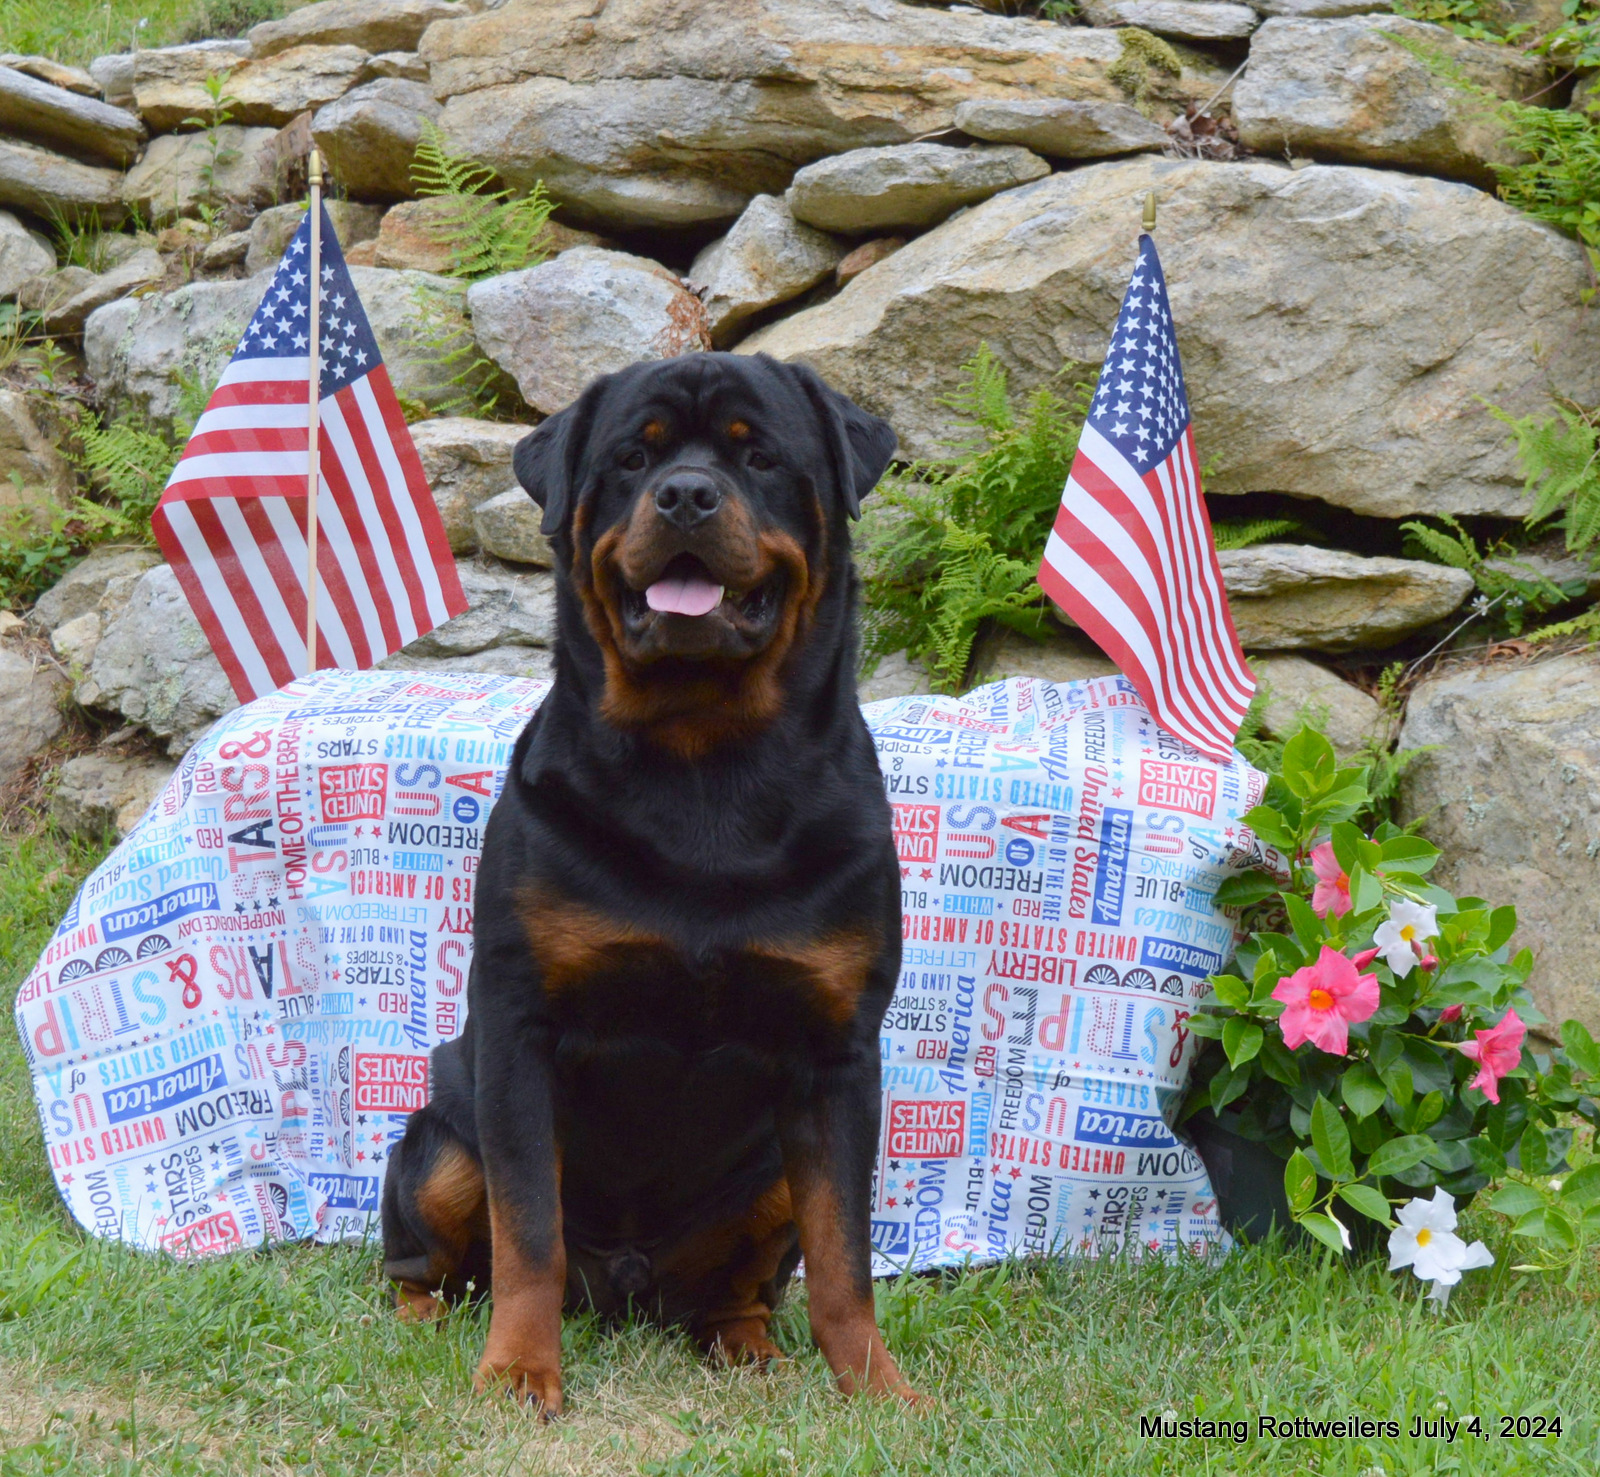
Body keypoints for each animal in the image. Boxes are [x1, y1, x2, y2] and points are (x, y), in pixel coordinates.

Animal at [381, 352, 920, 1415]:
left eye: (761, 457)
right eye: (633, 458)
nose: (686, 494)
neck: (704, 765)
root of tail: (627, 1285)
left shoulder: (838, 1052)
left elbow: (845, 1256)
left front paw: (876, 1385)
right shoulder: (520, 1030)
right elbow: (529, 1232)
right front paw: (518, 1370)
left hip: (764, 1177)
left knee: (738, 1292)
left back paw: (753, 1350)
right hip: (440, 1137)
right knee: (429, 1261)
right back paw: (422, 1320)